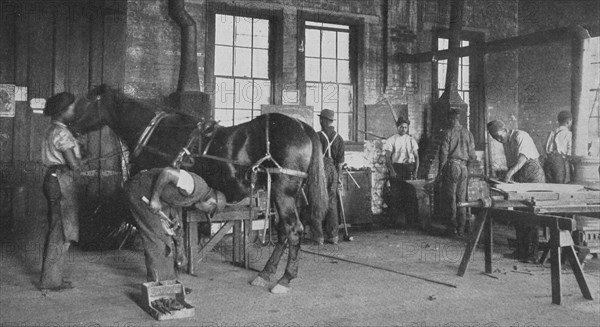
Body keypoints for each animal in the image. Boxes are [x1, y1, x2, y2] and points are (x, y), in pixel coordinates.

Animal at [70, 85, 328, 294]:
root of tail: (302, 127)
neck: (156, 133)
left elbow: (169, 226)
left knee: (293, 230)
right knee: (283, 231)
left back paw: (284, 280)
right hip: (278, 193)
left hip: (283, 192)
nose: (70, 126)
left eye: (87, 100)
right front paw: (180, 260)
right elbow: (178, 226)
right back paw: (265, 275)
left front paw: (175, 262)